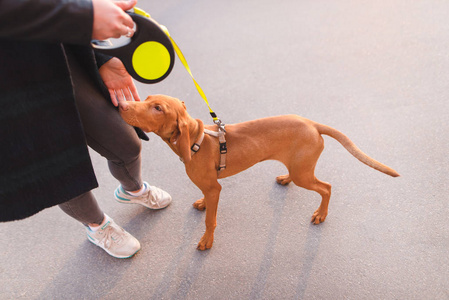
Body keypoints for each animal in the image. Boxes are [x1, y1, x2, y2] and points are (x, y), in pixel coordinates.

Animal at [119, 95, 400, 250]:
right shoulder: (209, 187)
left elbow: (210, 220)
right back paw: (286, 178)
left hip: (305, 174)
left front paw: (207, 240)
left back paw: (321, 214)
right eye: (145, 99)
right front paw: (201, 204)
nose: (121, 104)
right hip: (299, 166)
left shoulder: (215, 188)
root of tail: (312, 123)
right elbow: (205, 204)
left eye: (157, 108)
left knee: (326, 187)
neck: (196, 140)